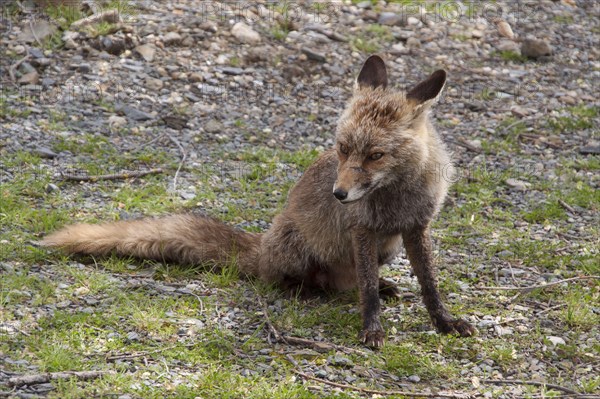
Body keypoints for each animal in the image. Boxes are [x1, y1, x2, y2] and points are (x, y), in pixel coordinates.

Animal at [42, 55, 476, 346]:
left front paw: (445, 323)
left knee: (349, 283)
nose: (339, 195)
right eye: (342, 148)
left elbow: (429, 286)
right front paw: (372, 328)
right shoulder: (362, 229)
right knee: (297, 280)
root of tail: (263, 245)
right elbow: (366, 292)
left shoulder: (416, 227)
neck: (396, 196)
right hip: (298, 250)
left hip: (387, 249)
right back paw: (305, 290)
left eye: (376, 155)